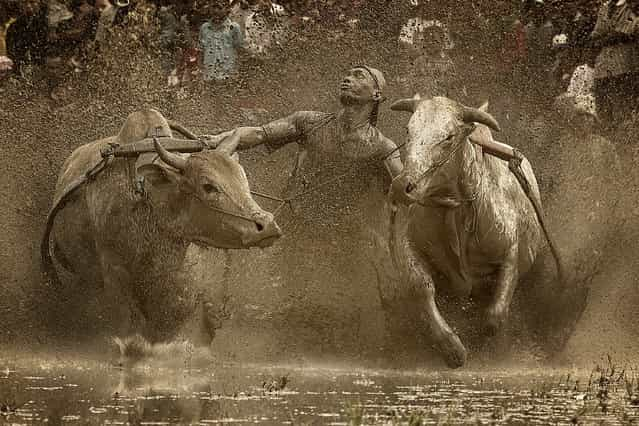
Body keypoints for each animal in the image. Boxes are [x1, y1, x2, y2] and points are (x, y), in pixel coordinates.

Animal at [390, 95, 544, 366]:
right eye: (408, 130)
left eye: (449, 137)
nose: (402, 186)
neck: (455, 210)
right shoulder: (407, 244)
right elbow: (420, 287)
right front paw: (452, 348)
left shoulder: (511, 253)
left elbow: (495, 316)